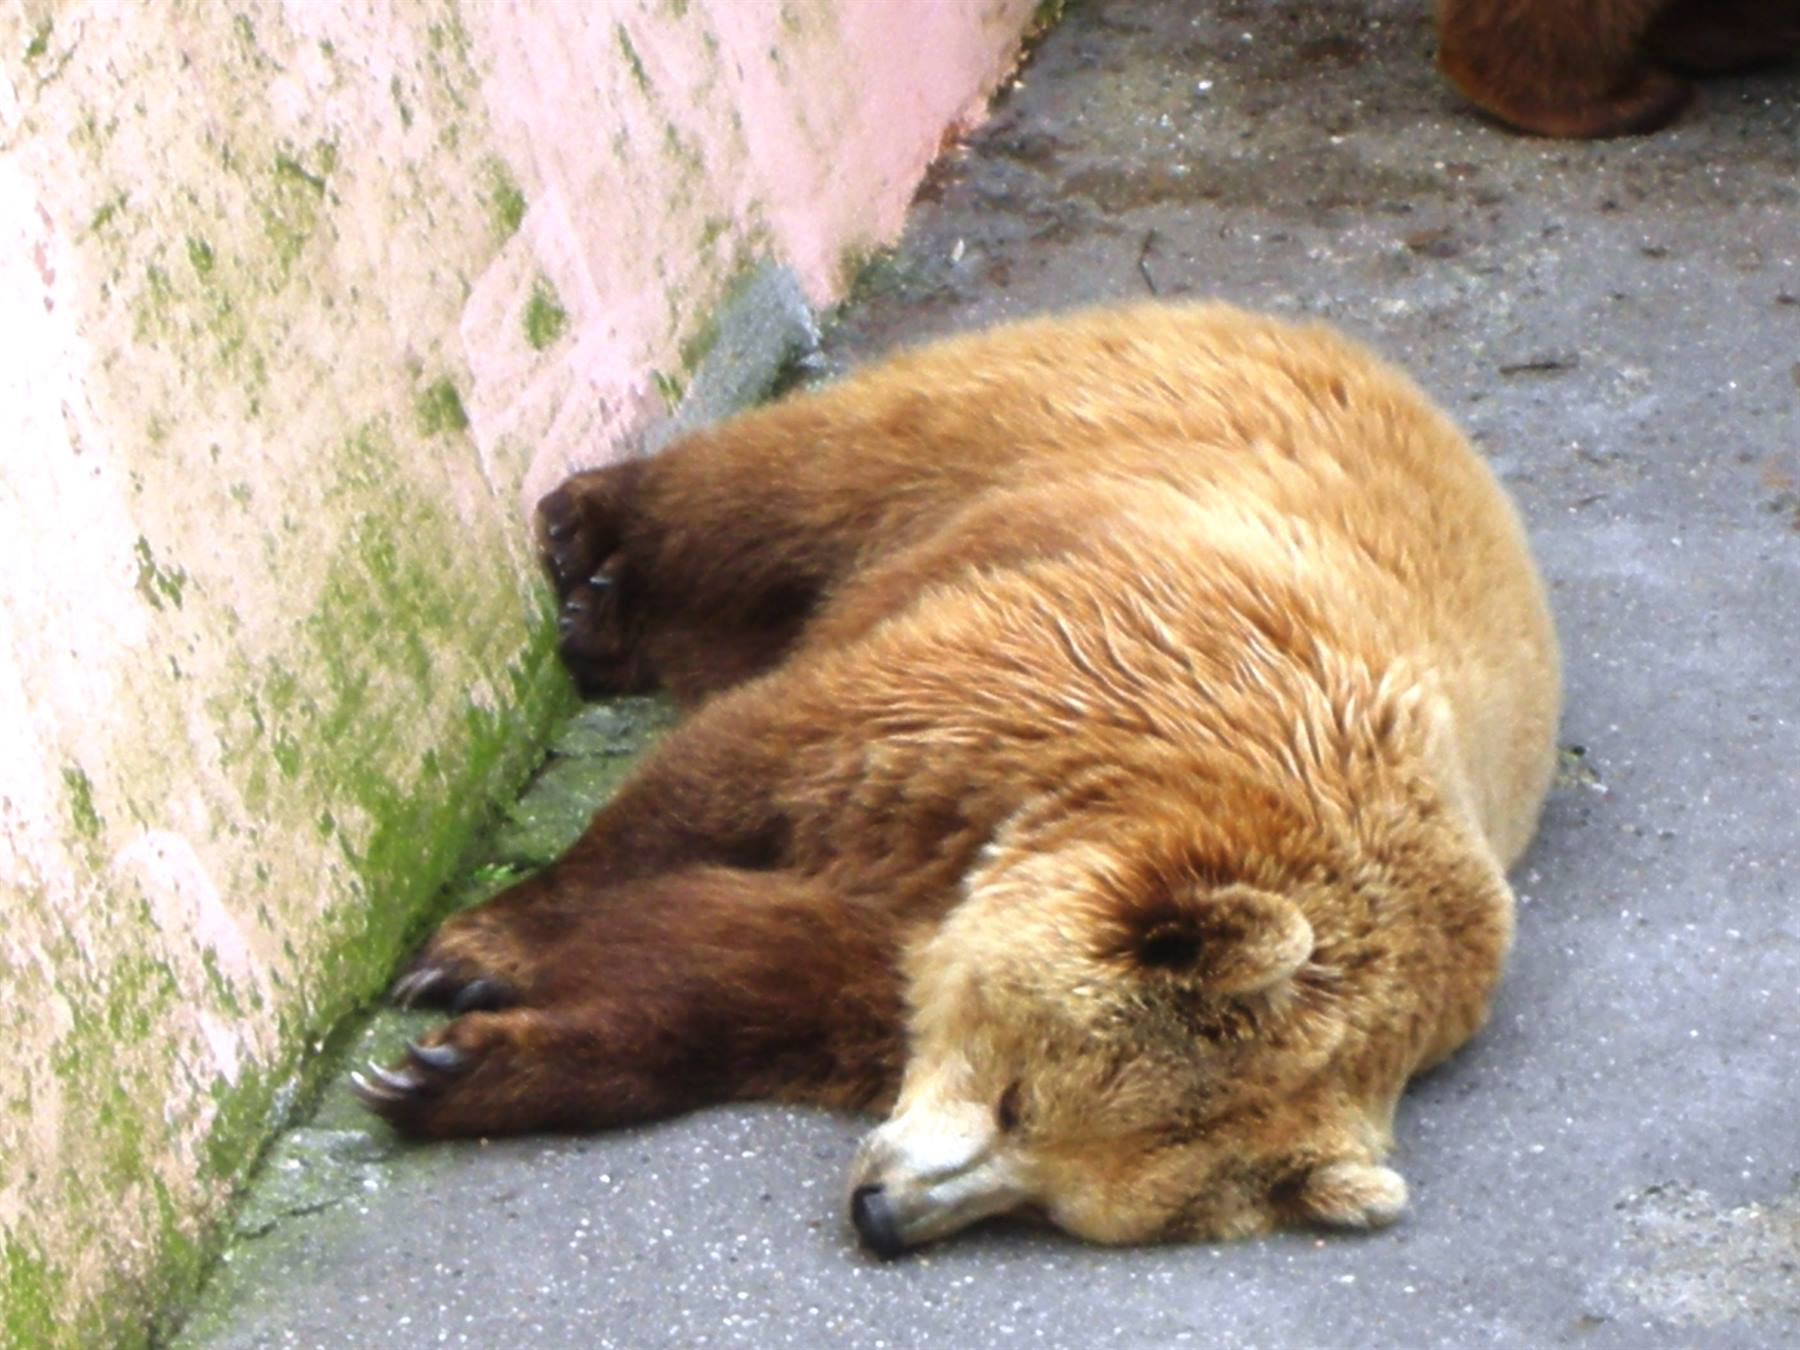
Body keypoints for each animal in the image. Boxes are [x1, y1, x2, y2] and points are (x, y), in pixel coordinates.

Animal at [351, 301, 1561, 1255]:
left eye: (1052, 1201)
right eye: (1021, 1102)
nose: (883, 1214)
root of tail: (1359, 355)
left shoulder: (915, 931)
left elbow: (744, 976)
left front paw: (457, 1067)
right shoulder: (1022, 689)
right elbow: (730, 778)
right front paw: (469, 955)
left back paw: (606, 622)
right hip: (1041, 427)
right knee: (784, 486)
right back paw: (587, 535)